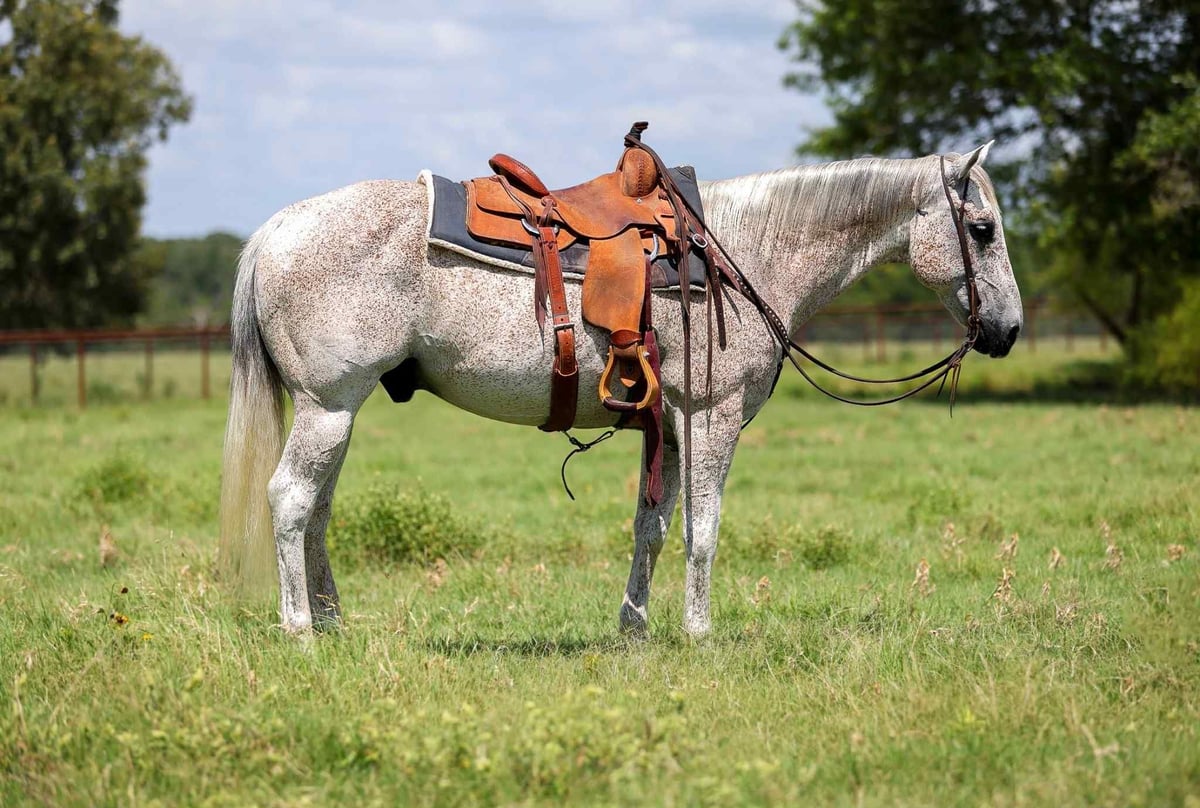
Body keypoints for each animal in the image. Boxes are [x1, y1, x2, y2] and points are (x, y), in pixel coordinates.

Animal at [218, 142, 1023, 637]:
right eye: (982, 228)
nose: (1008, 329)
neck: (740, 250)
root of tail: (275, 230)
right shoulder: (710, 420)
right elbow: (704, 531)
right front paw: (699, 632)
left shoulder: (665, 425)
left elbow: (653, 528)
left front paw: (634, 628)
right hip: (328, 408)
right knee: (290, 501)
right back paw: (300, 628)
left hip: (337, 413)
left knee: (317, 512)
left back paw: (333, 622)